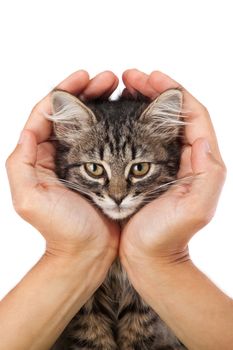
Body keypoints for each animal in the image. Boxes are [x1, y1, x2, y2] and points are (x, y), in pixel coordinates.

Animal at [49, 90, 187, 350]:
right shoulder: (87, 301)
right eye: (94, 169)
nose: (117, 198)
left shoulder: (141, 298)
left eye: (140, 168)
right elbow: (93, 340)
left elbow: (136, 336)